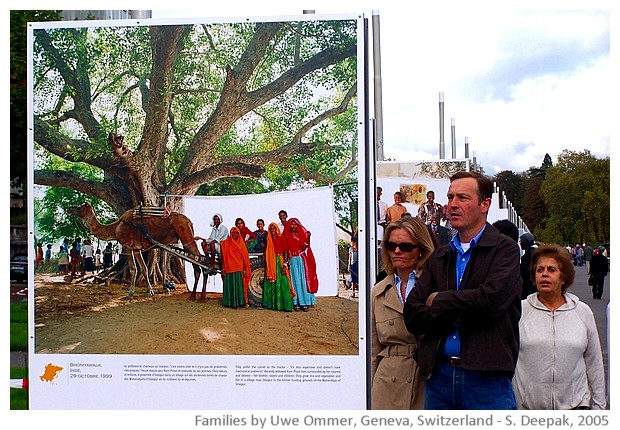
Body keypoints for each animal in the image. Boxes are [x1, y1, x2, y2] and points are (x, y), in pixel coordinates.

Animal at [67, 202, 208, 300]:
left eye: (79, 207)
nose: (69, 209)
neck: (116, 228)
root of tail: (189, 222)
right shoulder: (137, 249)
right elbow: (144, 268)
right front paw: (150, 291)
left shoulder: (129, 247)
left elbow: (134, 269)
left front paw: (130, 293)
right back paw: (195, 293)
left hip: (185, 235)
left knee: (200, 259)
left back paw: (199, 292)